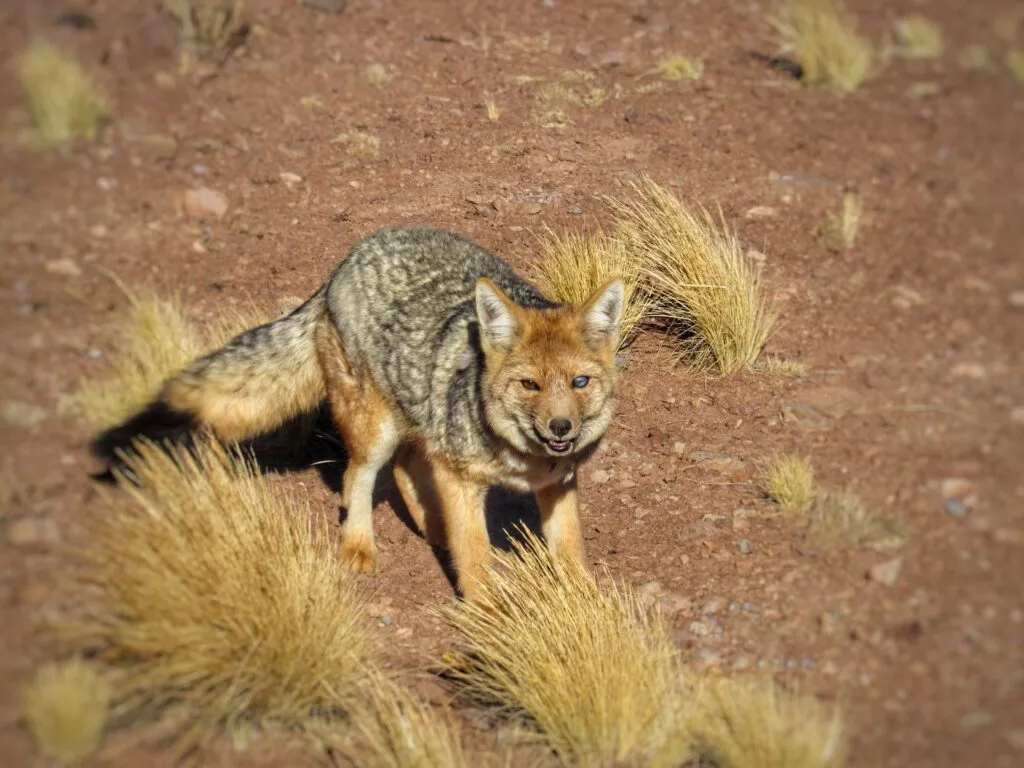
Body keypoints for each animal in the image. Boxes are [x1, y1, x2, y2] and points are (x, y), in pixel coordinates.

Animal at [94, 227, 622, 602]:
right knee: (359, 479)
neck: (524, 461)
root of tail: (343, 263)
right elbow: (475, 556)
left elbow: (570, 550)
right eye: (530, 385)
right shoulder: (461, 477)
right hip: (375, 432)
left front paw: (585, 604)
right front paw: (488, 613)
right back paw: (360, 545)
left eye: (579, 383)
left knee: (408, 467)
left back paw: (434, 531)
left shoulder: (559, 482)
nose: (561, 427)